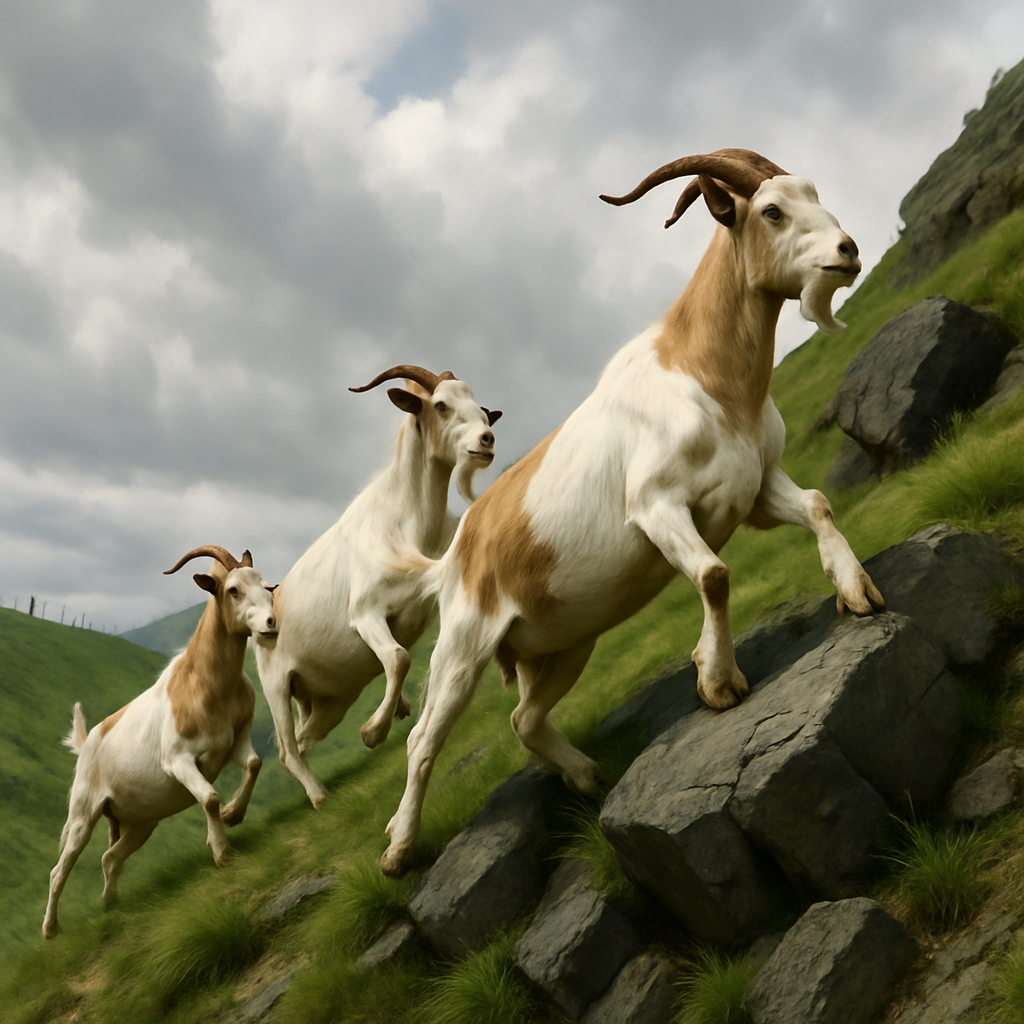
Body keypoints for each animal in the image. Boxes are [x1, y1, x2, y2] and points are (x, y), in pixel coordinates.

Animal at [42, 546, 277, 938]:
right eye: (232, 590)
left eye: (266, 584)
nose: (272, 622)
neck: (202, 684)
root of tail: (87, 741)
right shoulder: (178, 760)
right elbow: (209, 797)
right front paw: (221, 850)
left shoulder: (236, 739)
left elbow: (254, 764)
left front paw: (233, 814)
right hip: (83, 812)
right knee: (60, 869)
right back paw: (50, 929)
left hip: (140, 820)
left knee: (110, 857)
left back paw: (109, 903)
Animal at [254, 365, 501, 808]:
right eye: (440, 405)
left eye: (478, 403)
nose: (486, 439)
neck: (404, 522)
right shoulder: (366, 612)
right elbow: (400, 658)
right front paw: (372, 732)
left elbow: (403, 658)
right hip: (277, 686)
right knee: (286, 749)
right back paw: (318, 797)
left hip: (329, 698)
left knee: (301, 739)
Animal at [380, 149, 885, 877]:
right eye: (771, 211)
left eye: (813, 194)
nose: (847, 250)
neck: (699, 374)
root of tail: (458, 548)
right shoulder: (657, 506)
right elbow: (713, 575)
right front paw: (719, 683)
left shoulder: (757, 485)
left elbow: (816, 505)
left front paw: (857, 593)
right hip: (464, 644)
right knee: (422, 740)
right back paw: (398, 849)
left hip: (562, 642)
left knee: (523, 719)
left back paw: (588, 776)